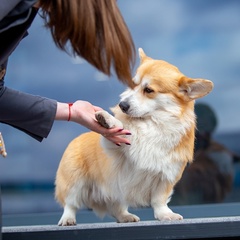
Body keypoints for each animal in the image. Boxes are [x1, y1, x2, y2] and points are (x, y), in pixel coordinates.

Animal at [55, 48, 213, 225]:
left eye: (149, 90)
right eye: (133, 85)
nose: (122, 105)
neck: (152, 123)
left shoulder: (167, 174)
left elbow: (159, 200)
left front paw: (166, 215)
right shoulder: (114, 148)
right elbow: (122, 127)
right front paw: (109, 120)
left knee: (116, 206)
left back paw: (125, 217)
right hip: (74, 181)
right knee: (70, 203)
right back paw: (67, 219)